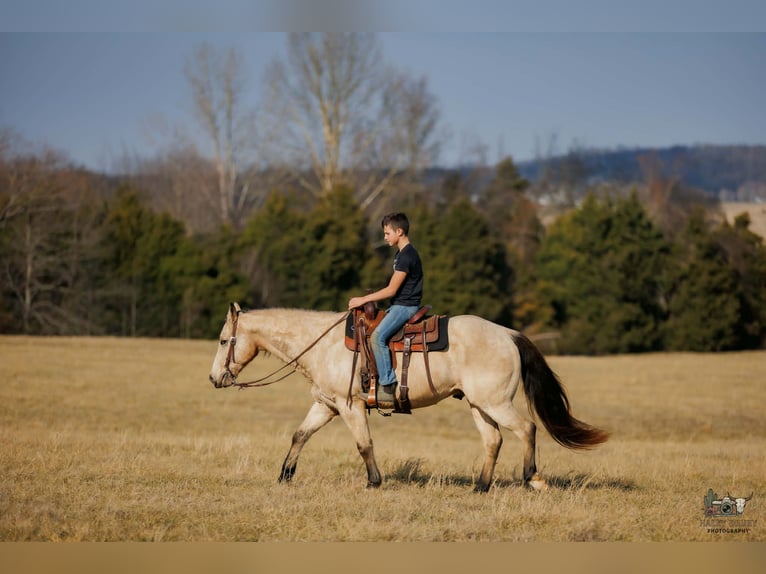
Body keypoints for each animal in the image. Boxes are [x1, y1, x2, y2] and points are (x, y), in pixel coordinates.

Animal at [208, 302, 609, 492]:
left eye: (224, 340)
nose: (214, 378)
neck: (322, 343)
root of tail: (509, 334)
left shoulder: (350, 406)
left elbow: (364, 445)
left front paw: (374, 481)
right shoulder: (327, 404)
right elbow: (300, 435)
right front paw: (285, 476)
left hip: (497, 403)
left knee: (526, 429)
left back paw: (532, 478)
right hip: (479, 405)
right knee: (493, 440)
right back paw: (480, 487)